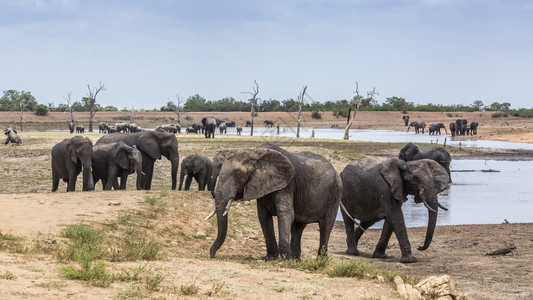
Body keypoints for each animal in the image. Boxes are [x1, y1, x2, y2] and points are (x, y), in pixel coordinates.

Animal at [208, 143, 340, 260]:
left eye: (240, 173)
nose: (213, 255)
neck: (254, 152)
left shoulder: (287, 183)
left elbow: (285, 214)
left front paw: (285, 260)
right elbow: (263, 216)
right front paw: (270, 258)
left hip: (335, 192)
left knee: (325, 226)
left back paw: (320, 261)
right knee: (298, 227)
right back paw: (296, 260)